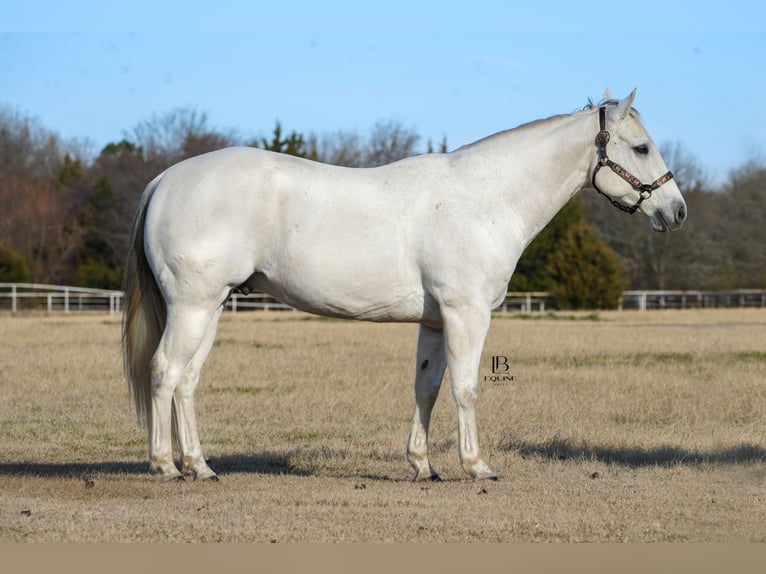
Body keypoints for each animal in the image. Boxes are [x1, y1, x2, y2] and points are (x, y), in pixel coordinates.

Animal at [123, 90, 688, 484]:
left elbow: (427, 388)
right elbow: (465, 387)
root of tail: (165, 179)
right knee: (165, 371)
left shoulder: (435, 320)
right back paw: (165, 466)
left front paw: (422, 465)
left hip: (212, 306)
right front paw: (476, 466)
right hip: (193, 306)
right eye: (641, 147)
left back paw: (200, 466)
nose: (677, 210)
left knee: (187, 380)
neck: (485, 198)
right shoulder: (466, 313)